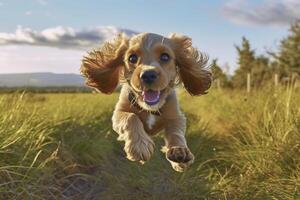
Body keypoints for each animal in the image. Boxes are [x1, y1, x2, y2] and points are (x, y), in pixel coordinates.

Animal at [79, 32, 211, 172]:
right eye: (132, 58)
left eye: (165, 56)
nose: (148, 74)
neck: (150, 108)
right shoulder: (118, 113)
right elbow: (131, 117)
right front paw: (140, 145)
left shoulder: (176, 116)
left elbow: (176, 132)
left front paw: (179, 151)